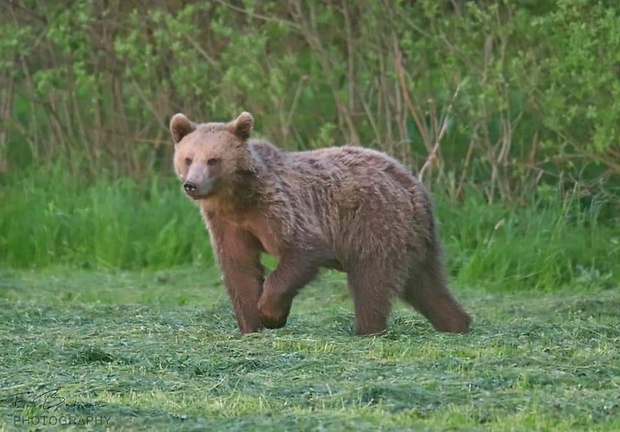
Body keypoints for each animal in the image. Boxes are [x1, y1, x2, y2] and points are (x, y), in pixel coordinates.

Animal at [167, 110, 472, 334]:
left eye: (213, 160)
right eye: (188, 158)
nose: (192, 185)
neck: (237, 200)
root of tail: (414, 185)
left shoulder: (279, 208)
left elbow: (302, 250)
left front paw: (270, 311)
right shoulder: (229, 225)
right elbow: (240, 269)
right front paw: (251, 325)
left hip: (376, 224)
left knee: (371, 283)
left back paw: (366, 329)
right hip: (415, 240)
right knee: (426, 285)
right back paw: (458, 323)